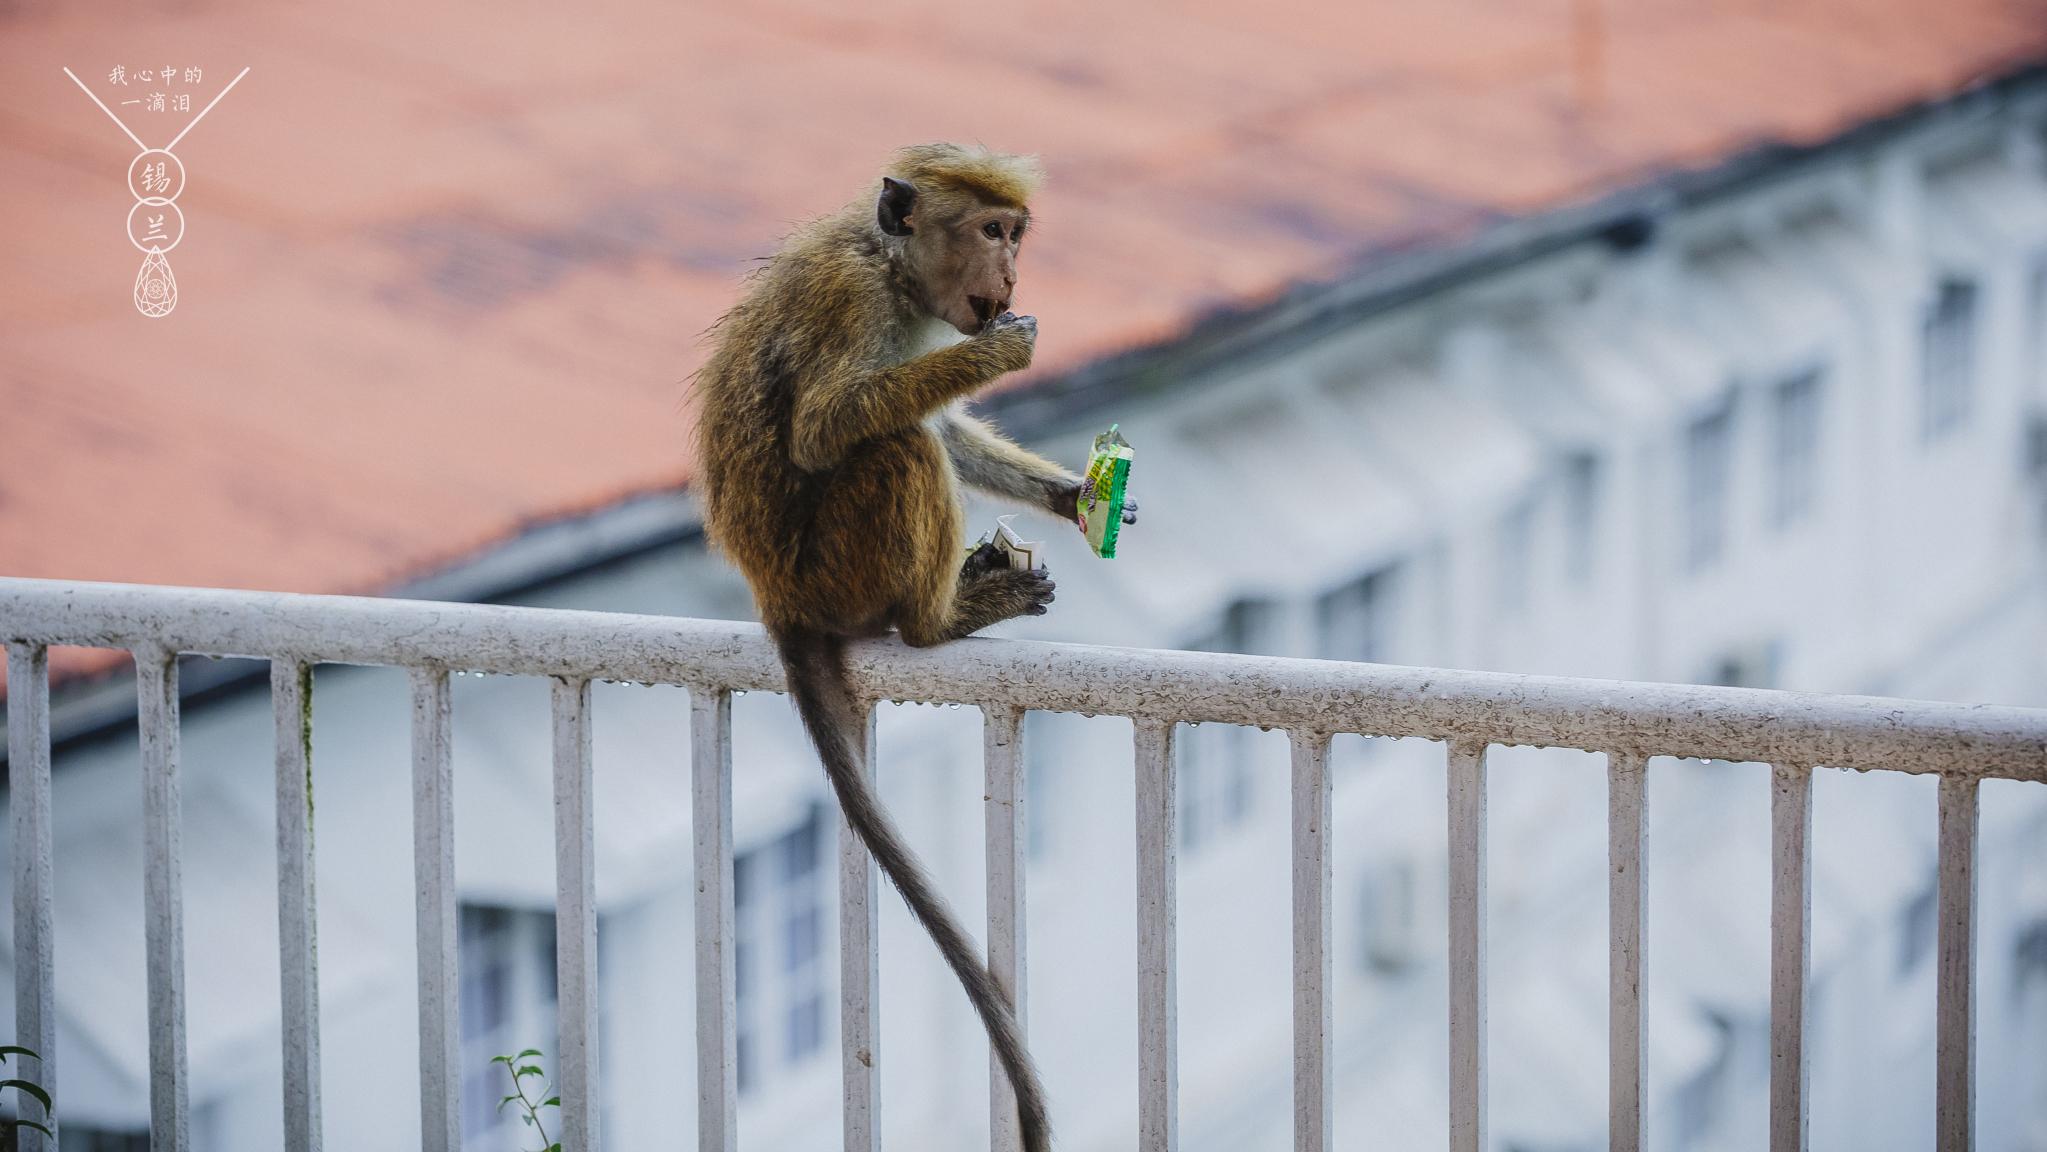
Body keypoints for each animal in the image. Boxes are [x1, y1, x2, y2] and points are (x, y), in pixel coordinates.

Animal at [687, 144, 1138, 1152]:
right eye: (990, 230)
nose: (1011, 269)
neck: (889, 267)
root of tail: (778, 597)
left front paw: (1077, 494)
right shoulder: (853, 300)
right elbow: (826, 428)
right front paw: (999, 352)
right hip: (838, 570)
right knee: (892, 447)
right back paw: (942, 618)